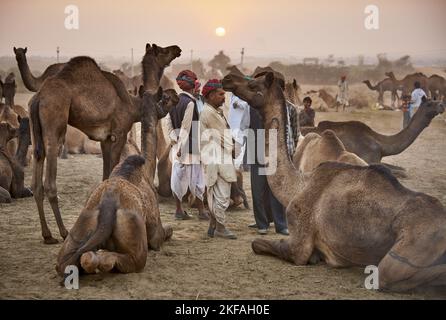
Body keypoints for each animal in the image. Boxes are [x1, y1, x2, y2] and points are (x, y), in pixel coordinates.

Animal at [29, 42, 181, 244]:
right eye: (163, 51)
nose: (177, 49)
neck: (134, 104)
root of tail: (38, 98)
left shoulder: (105, 139)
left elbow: (105, 174)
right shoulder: (119, 133)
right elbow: (111, 170)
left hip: (36, 133)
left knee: (37, 175)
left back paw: (47, 235)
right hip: (54, 123)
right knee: (50, 181)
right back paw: (63, 232)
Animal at [56, 87, 174, 276]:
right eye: (163, 99)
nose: (174, 99)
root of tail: (107, 207)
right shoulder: (156, 234)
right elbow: (168, 231)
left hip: (79, 229)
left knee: (68, 261)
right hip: (136, 241)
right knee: (124, 260)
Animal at [223, 70, 446, 292]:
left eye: (254, 85)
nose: (227, 79)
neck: (298, 185)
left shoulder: (299, 242)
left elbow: (257, 244)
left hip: (407, 252)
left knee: (387, 274)